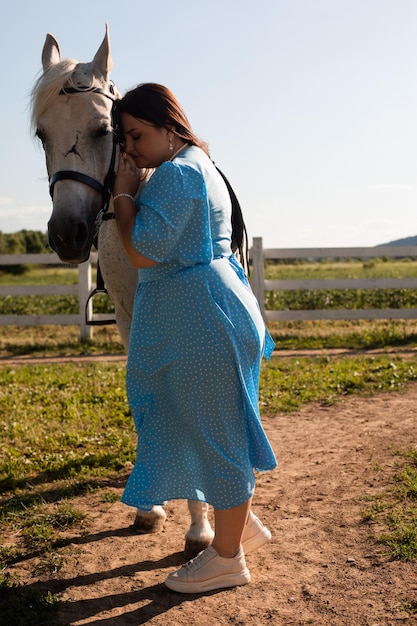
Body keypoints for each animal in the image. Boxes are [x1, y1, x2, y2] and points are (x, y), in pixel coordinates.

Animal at [31, 24, 214, 552]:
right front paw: (151, 505)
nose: (67, 234)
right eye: (41, 134)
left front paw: (200, 524)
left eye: (102, 129)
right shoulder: (131, 318)